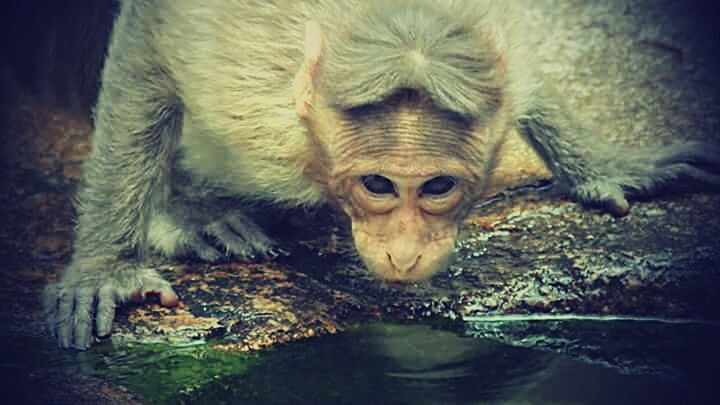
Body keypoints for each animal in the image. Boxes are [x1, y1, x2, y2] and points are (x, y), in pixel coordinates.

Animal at [43, 0, 720, 348]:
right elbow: (149, 45)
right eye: (378, 186)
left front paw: (606, 166)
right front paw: (108, 267)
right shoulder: (244, 86)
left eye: (439, 187)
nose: (404, 254)